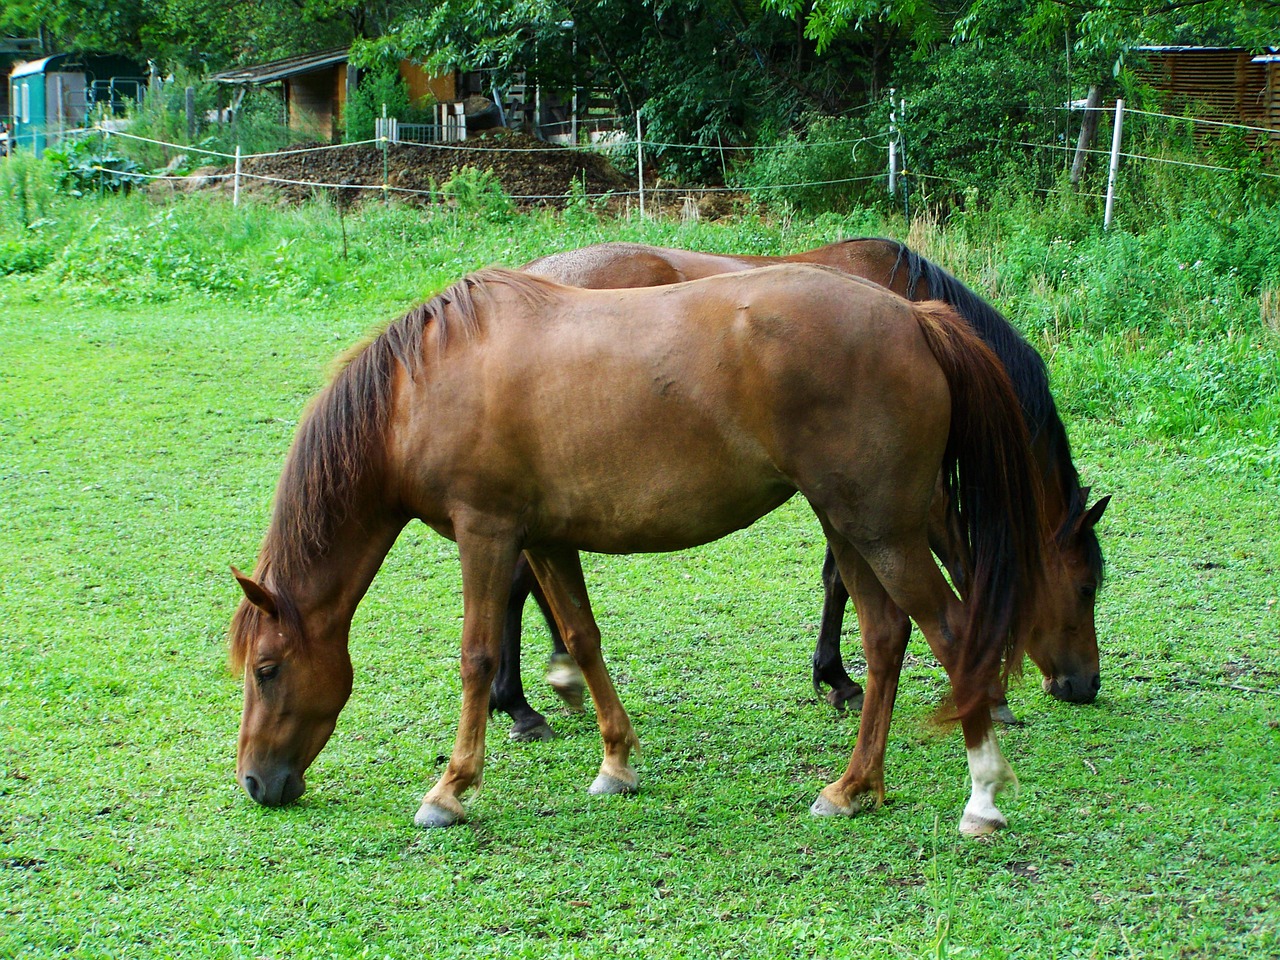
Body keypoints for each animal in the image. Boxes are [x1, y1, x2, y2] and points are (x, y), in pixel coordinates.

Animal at [230, 263, 1049, 834]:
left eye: (267, 670)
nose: (256, 784)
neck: (422, 388)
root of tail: (914, 317)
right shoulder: (545, 540)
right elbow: (582, 638)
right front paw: (616, 761)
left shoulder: (486, 533)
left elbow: (477, 657)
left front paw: (451, 790)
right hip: (848, 525)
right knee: (884, 638)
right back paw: (854, 788)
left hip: (883, 527)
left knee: (952, 632)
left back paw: (981, 798)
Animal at [483, 239, 1105, 737]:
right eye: (1085, 587)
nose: (1085, 685)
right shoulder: (898, 498)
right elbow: (925, 569)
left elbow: (840, 579)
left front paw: (835, 676)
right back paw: (520, 702)